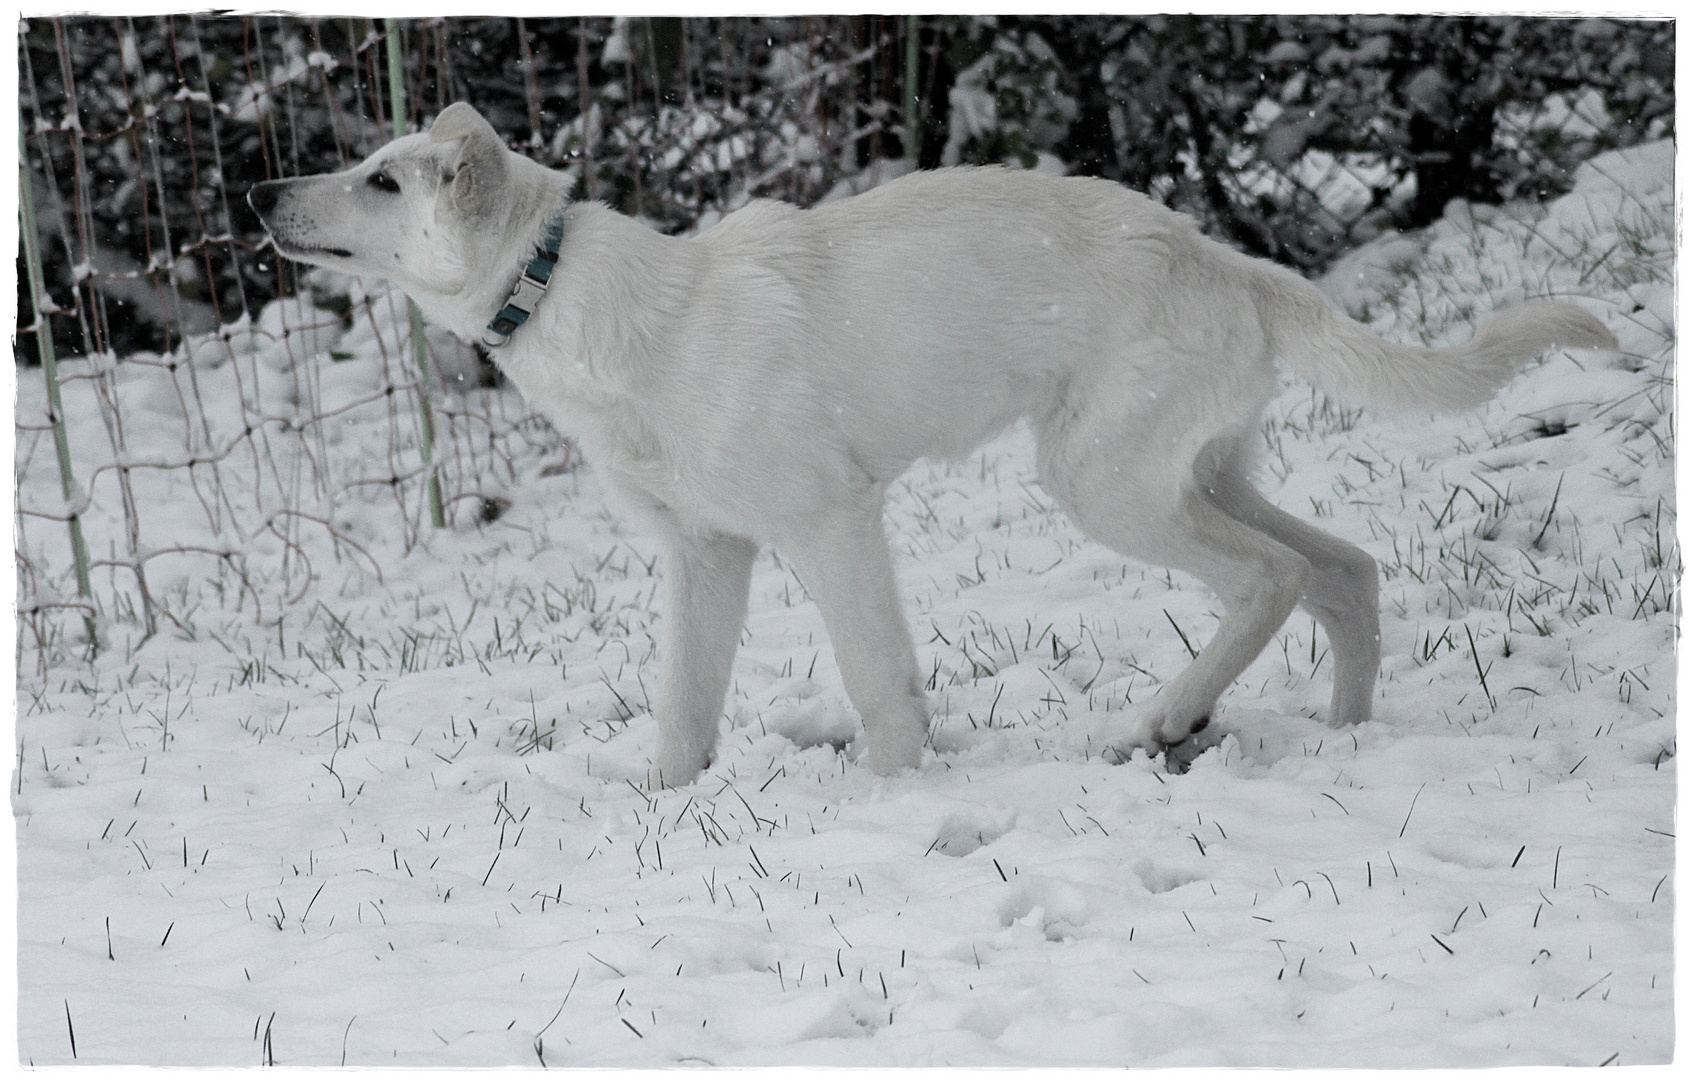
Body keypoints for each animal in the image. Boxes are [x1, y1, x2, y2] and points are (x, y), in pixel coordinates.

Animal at [247, 103, 1610, 785]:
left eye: (383, 181)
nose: (259, 195)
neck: (583, 300)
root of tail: (1227, 260)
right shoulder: (708, 560)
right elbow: (685, 709)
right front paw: (664, 810)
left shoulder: (829, 524)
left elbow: (878, 685)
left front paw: (897, 800)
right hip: (1190, 473)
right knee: (1344, 571)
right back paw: (1343, 735)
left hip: (1104, 487)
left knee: (1275, 578)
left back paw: (1162, 723)